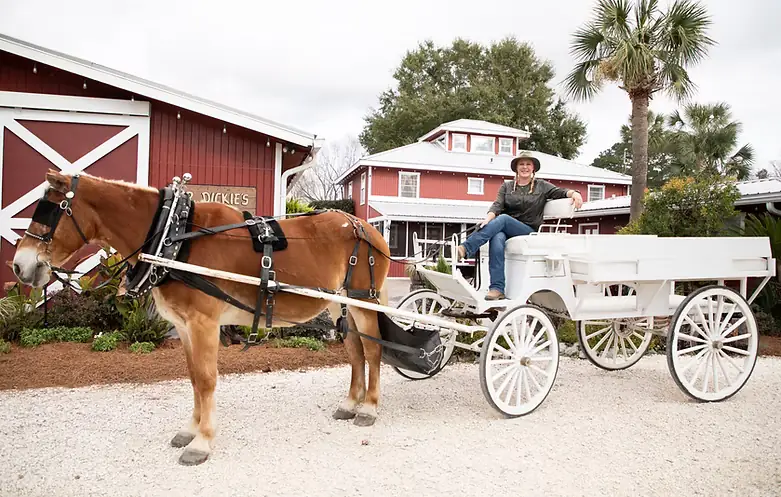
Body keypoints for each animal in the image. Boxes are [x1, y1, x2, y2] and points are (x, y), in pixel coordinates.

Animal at [10, 170, 390, 464]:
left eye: (50, 211)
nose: (18, 266)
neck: (175, 238)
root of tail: (364, 227)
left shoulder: (204, 322)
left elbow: (206, 380)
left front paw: (202, 442)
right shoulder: (184, 325)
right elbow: (193, 378)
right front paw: (190, 431)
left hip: (363, 300)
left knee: (372, 351)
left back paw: (369, 408)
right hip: (338, 302)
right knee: (355, 351)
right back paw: (350, 403)